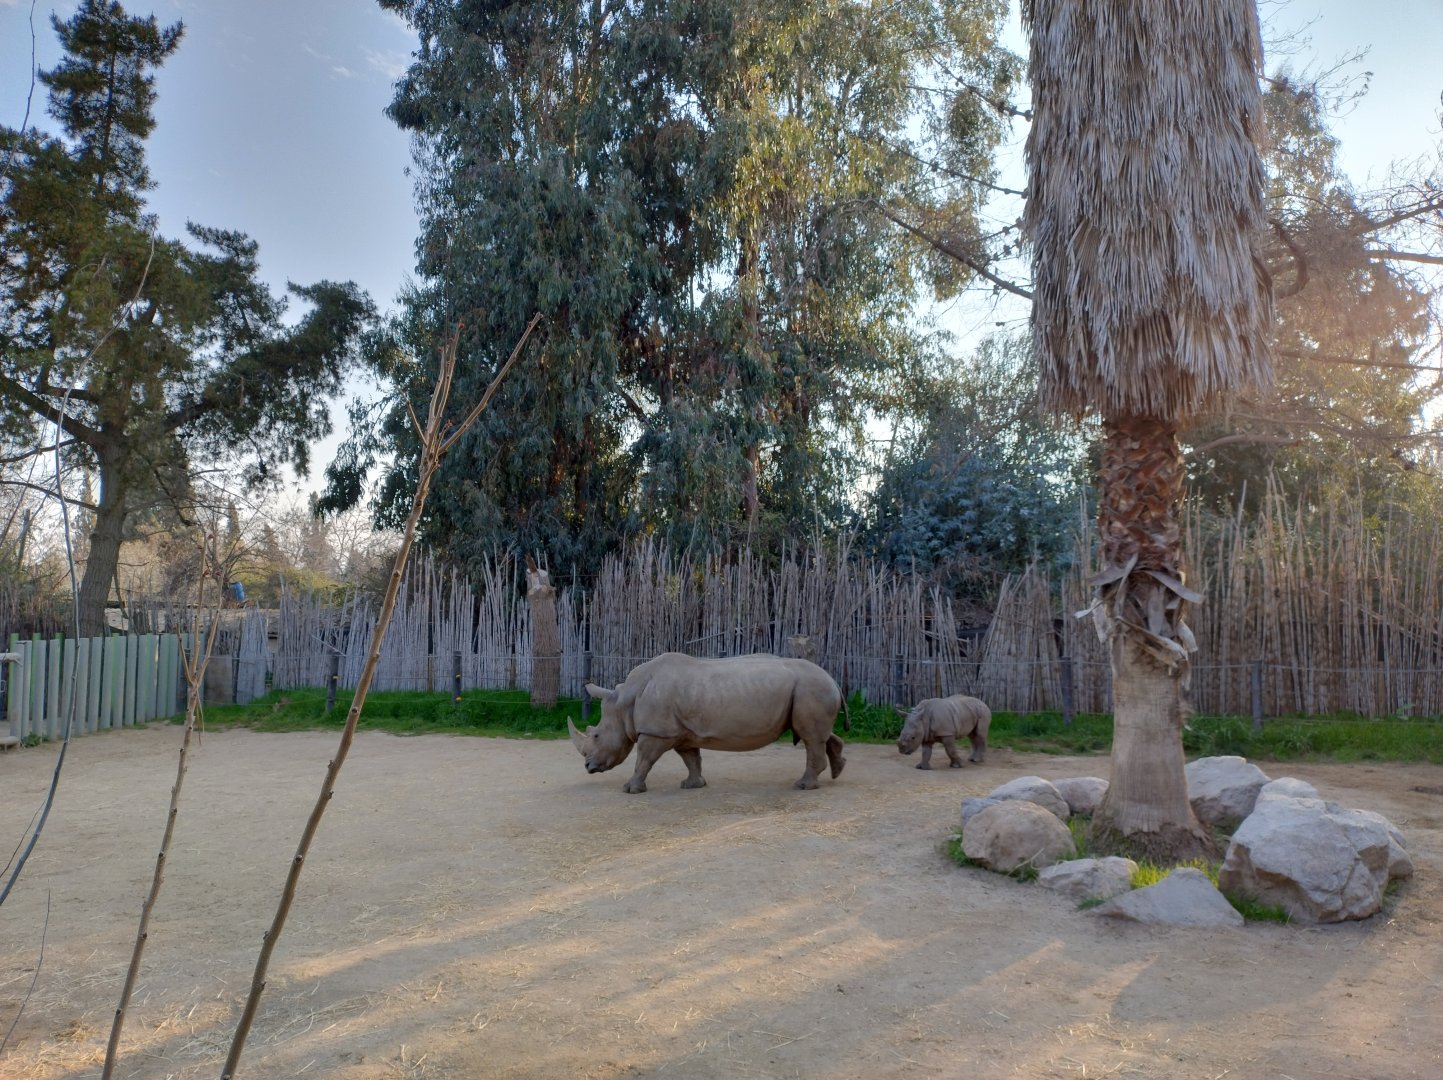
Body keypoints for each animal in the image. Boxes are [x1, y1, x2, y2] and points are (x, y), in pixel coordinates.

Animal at [569, 652, 847, 793]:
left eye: (596, 736)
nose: (587, 766)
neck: (624, 702)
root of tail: (833, 679)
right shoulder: (680, 731)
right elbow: (691, 758)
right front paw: (692, 785)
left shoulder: (656, 732)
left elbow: (644, 760)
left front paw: (630, 789)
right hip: (811, 690)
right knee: (819, 734)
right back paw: (837, 771)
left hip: (811, 688)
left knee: (811, 737)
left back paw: (803, 786)